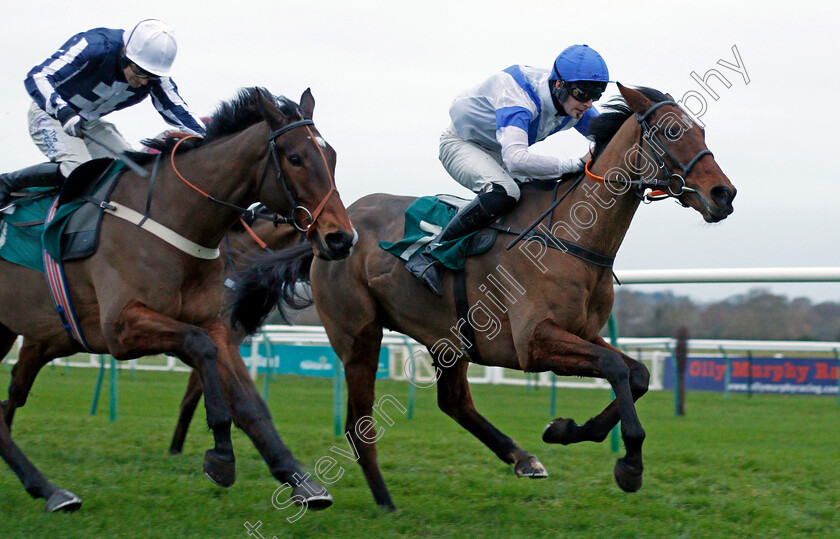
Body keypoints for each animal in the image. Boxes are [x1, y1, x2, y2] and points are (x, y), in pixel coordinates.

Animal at [0, 86, 354, 512]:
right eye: (296, 158)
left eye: (331, 157)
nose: (341, 238)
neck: (176, 219)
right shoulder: (121, 329)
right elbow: (200, 355)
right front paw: (220, 453)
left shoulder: (216, 326)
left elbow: (249, 404)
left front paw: (299, 479)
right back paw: (48, 488)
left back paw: (47, 488)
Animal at [230, 85, 736, 510]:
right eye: (672, 131)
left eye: (702, 130)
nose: (724, 194)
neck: (571, 237)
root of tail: (332, 232)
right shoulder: (534, 342)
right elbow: (615, 368)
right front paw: (628, 464)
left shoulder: (583, 332)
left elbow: (637, 374)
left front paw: (566, 431)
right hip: (359, 336)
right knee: (359, 425)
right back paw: (385, 500)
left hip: (448, 339)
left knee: (454, 403)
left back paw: (522, 457)